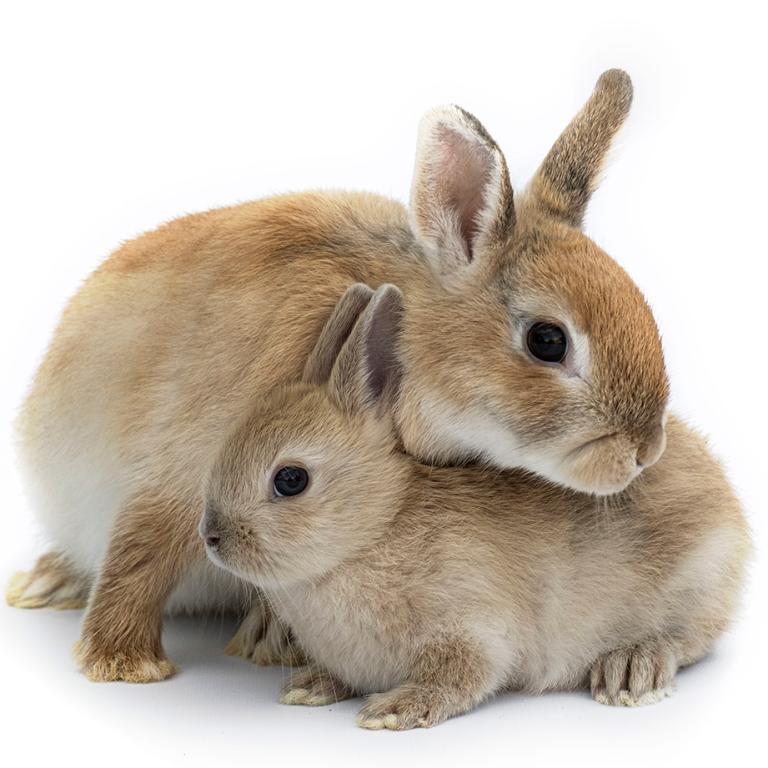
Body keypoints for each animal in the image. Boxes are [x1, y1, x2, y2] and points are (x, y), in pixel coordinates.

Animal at [9, 69, 672, 682]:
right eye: (547, 341)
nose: (645, 451)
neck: (409, 344)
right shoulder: (183, 464)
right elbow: (142, 550)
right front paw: (123, 665)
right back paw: (44, 585)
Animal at [202, 283, 751, 730]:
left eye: (290, 480)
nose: (212, 537)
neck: (377, 527)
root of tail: (732, 514)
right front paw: (310, 685)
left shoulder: (473, 626)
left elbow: (463, 675)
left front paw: (394, 710)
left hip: (697, 575)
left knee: (688, 638)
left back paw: (632, 668)